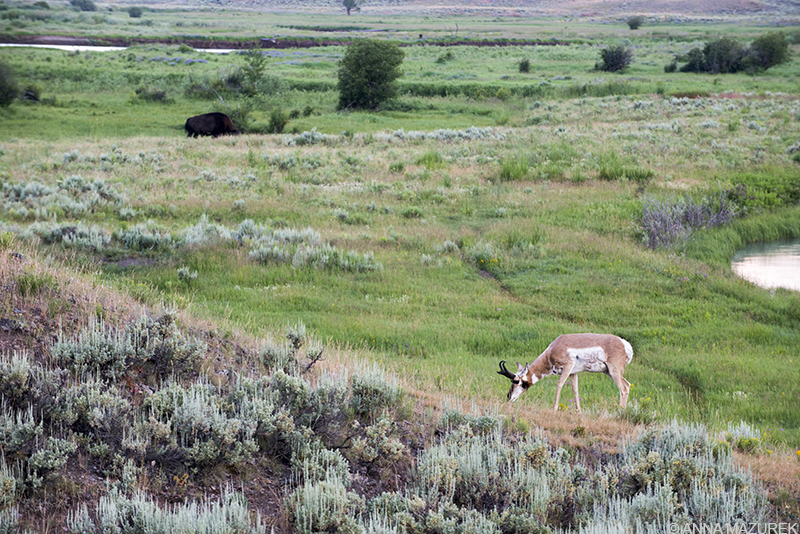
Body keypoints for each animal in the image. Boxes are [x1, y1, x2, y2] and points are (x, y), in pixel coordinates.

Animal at [496, 336, 636, 414]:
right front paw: (578, 411)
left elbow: (559, 384)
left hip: (614, 371)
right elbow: (575, 389)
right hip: (609, 372)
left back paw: (620, 412)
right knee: (627, 385)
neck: (552, 349)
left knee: (623, 388)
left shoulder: (568, 366)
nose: (508, 397)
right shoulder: (573, 373)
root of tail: (624, 343)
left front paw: (554, 408)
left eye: (516, 381)